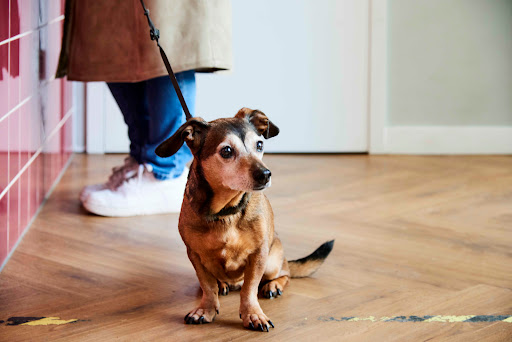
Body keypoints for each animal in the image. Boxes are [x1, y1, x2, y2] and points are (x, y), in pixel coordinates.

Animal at [155, 107, 332, 332]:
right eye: (226, 151)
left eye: (260, 145)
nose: (265, 174)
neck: (226, 211)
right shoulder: (195, 255)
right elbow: (207, 286)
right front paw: (206, 309)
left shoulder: (258, 255)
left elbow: (249, 288)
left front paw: (253, 314)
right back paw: (223, 284)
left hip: (272, 262)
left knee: (286, 274)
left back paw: (273, 285)